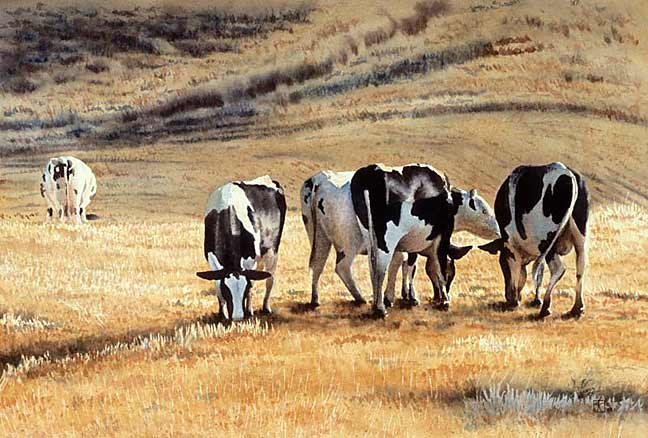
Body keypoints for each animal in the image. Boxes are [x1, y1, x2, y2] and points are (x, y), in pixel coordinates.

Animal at [196, 176, 287, 321]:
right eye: (227, 290)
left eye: (245, 288)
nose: (238, 317)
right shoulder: (213, 261)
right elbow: (217, 286)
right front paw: (222, 314)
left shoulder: (250, 261)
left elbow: (252, 284)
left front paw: (249, 310)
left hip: (272, 249)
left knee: (270, 279)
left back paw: (265, 307)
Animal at [301, 170, 471, 308]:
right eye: (451, 272)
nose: (441, 295)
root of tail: (319, 179)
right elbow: (408, 265)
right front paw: (408, 297)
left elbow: (398, 264)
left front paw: (396, 296)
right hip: (350, 242)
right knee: (343, 267)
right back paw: (362, 299)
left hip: (319, 236)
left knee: (317, 264)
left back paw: (316, 300)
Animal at [350, 163, 500, 317]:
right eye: (484, 211)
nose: (498, 230)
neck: (448, 202)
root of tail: (371, 170)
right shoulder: (440, 238)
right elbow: (435, 266)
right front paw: (442, 301)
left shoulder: (407, 243)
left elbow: (404, 264)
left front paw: (401, 297)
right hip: (386, 241)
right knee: (380, 269)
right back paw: (380, 309)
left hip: (369, 234)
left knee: (373, 265)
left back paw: (376, 305)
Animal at [478, 162, 590, 319]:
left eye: (502, 265)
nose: (507, 296)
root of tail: (567, 173)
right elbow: (539, 271)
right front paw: (535, 300)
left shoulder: (511, 244)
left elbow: (516, 269)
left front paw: (513, 302)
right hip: (579, 236)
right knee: (581, 265)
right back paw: (576, 309)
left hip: (547, 240)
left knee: (558, 268)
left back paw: (545, 308)